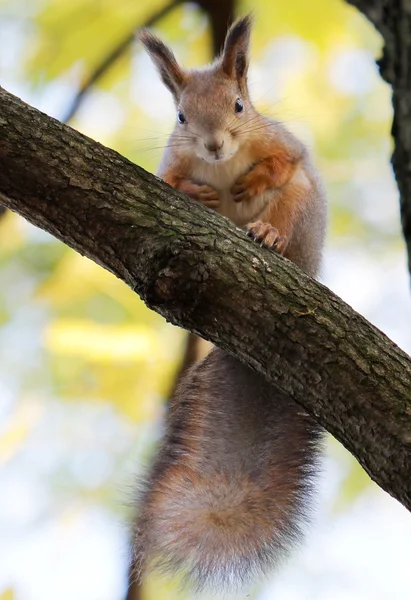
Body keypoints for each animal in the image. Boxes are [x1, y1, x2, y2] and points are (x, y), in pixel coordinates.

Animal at [134, 12, 328, 592]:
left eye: (239, 106)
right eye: (180, 115)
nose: (215, 146)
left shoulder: (281, 141)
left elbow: (285, 161)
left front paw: (252, 180)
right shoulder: (172, 159)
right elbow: (170, 180)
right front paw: (196, 192)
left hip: (299, 211)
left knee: (286, 204)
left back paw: (266, 232)